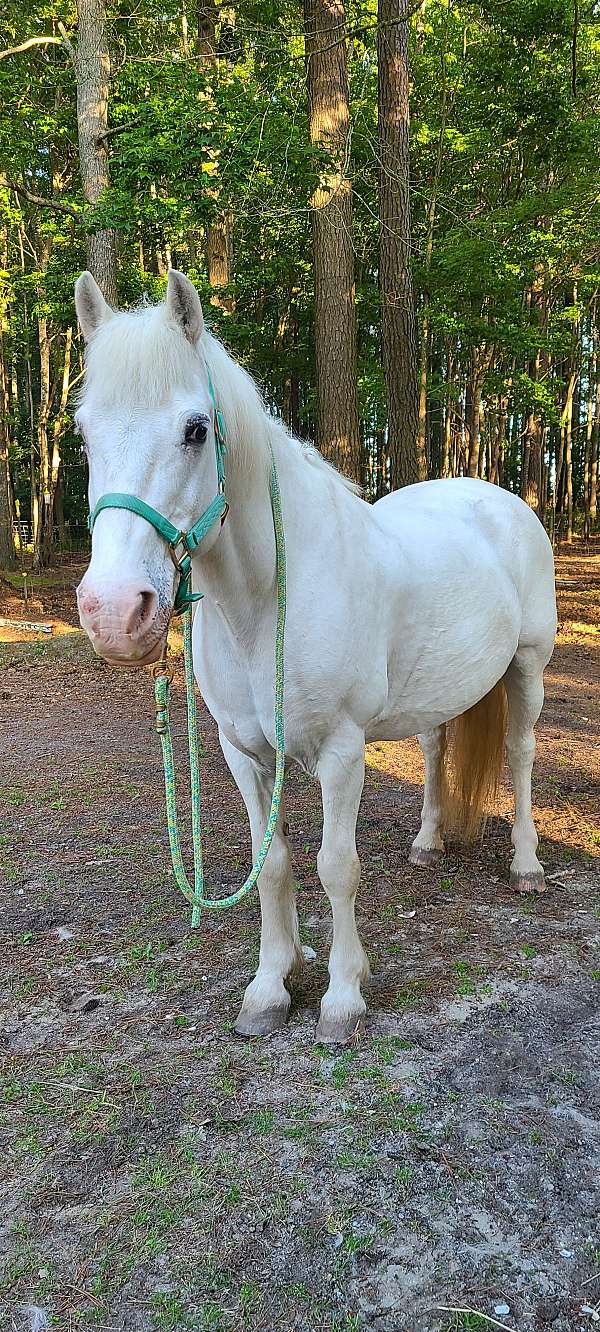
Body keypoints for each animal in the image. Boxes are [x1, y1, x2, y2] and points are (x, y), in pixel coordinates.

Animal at [73, 267, 557, 1038]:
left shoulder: (340, 751)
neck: (268, 597)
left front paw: (341, 997)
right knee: (433, 749)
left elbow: (336, 866)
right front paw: (271, 987)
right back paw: (427, 844)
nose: (114, 613)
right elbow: (272, 864)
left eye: (195, 429)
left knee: (519, 754)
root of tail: (495, 495)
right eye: (84, 432)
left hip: (528, 667)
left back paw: (527, 865)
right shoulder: (242, 751)